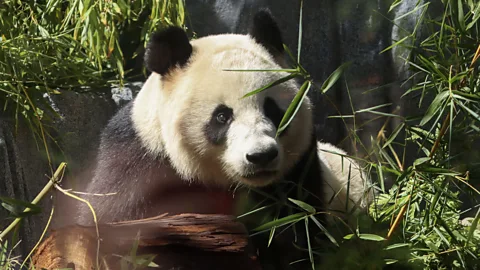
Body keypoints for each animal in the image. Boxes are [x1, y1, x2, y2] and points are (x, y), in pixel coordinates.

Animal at [75, 7, 374, 266]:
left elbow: (298, 233)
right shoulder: (139, 163)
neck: (219, 181)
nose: (261, 156)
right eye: (222, 116)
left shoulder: (299, 170)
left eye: (272, 109)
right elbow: (112, 223)